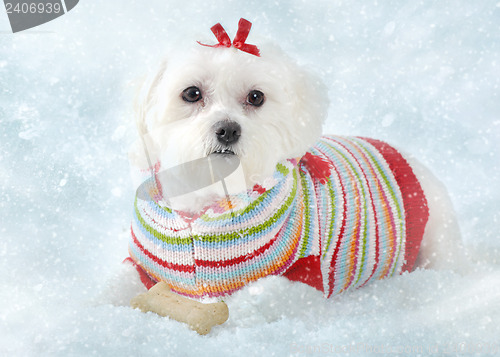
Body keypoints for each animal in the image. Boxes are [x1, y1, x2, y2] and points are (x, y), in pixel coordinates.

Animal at [116, 18, 464, 308]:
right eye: (191, 93)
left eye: (256, 97)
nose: (228, 129)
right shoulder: (142, 268)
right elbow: (118, 284)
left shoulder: (303, 276)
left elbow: (251, 302)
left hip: (437, 235)